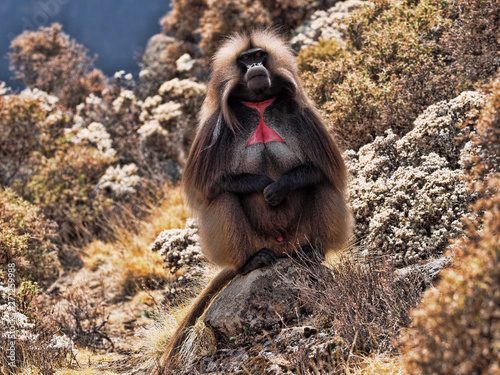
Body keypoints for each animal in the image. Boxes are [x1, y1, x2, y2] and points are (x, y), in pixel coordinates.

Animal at [154, 29, 350, 374]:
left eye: (259, 55)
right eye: (244, 59)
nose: (256, 65)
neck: (259, 105)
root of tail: (282, 249)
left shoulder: (303, 115)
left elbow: (323, 170)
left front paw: (280, 186)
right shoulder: (215, 127)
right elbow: (208, 188)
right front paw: (262, 185)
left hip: (298, 236)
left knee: (322, 185)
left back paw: (313, 252)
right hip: (257, 241)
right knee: (223, 199)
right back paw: (251, 262)